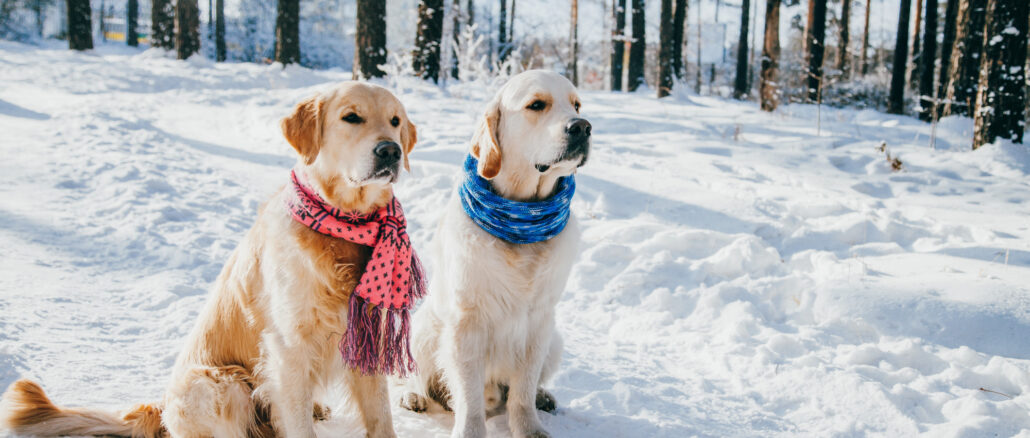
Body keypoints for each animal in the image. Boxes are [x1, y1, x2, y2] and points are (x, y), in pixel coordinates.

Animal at [1, 80, 418, 434]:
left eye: (395, 121)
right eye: (351, 117)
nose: (391, 151)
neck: (342, 223)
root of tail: (160, 407)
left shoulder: (365, 339)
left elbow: (380, 417)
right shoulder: (288, 349)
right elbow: (298, 424)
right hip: (222, 384)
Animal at [403, 70, 597, 434]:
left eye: (577, 104)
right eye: (536, 104)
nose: (582, 127)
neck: (521, 220)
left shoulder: (539, 322)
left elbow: (522, 391)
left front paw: (530, 428)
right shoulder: (466, 324)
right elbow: (469, 399)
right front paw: (469, 431)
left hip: (555, 340)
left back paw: (543, 397)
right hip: (423, 329)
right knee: (419, 376)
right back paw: (414, 396)